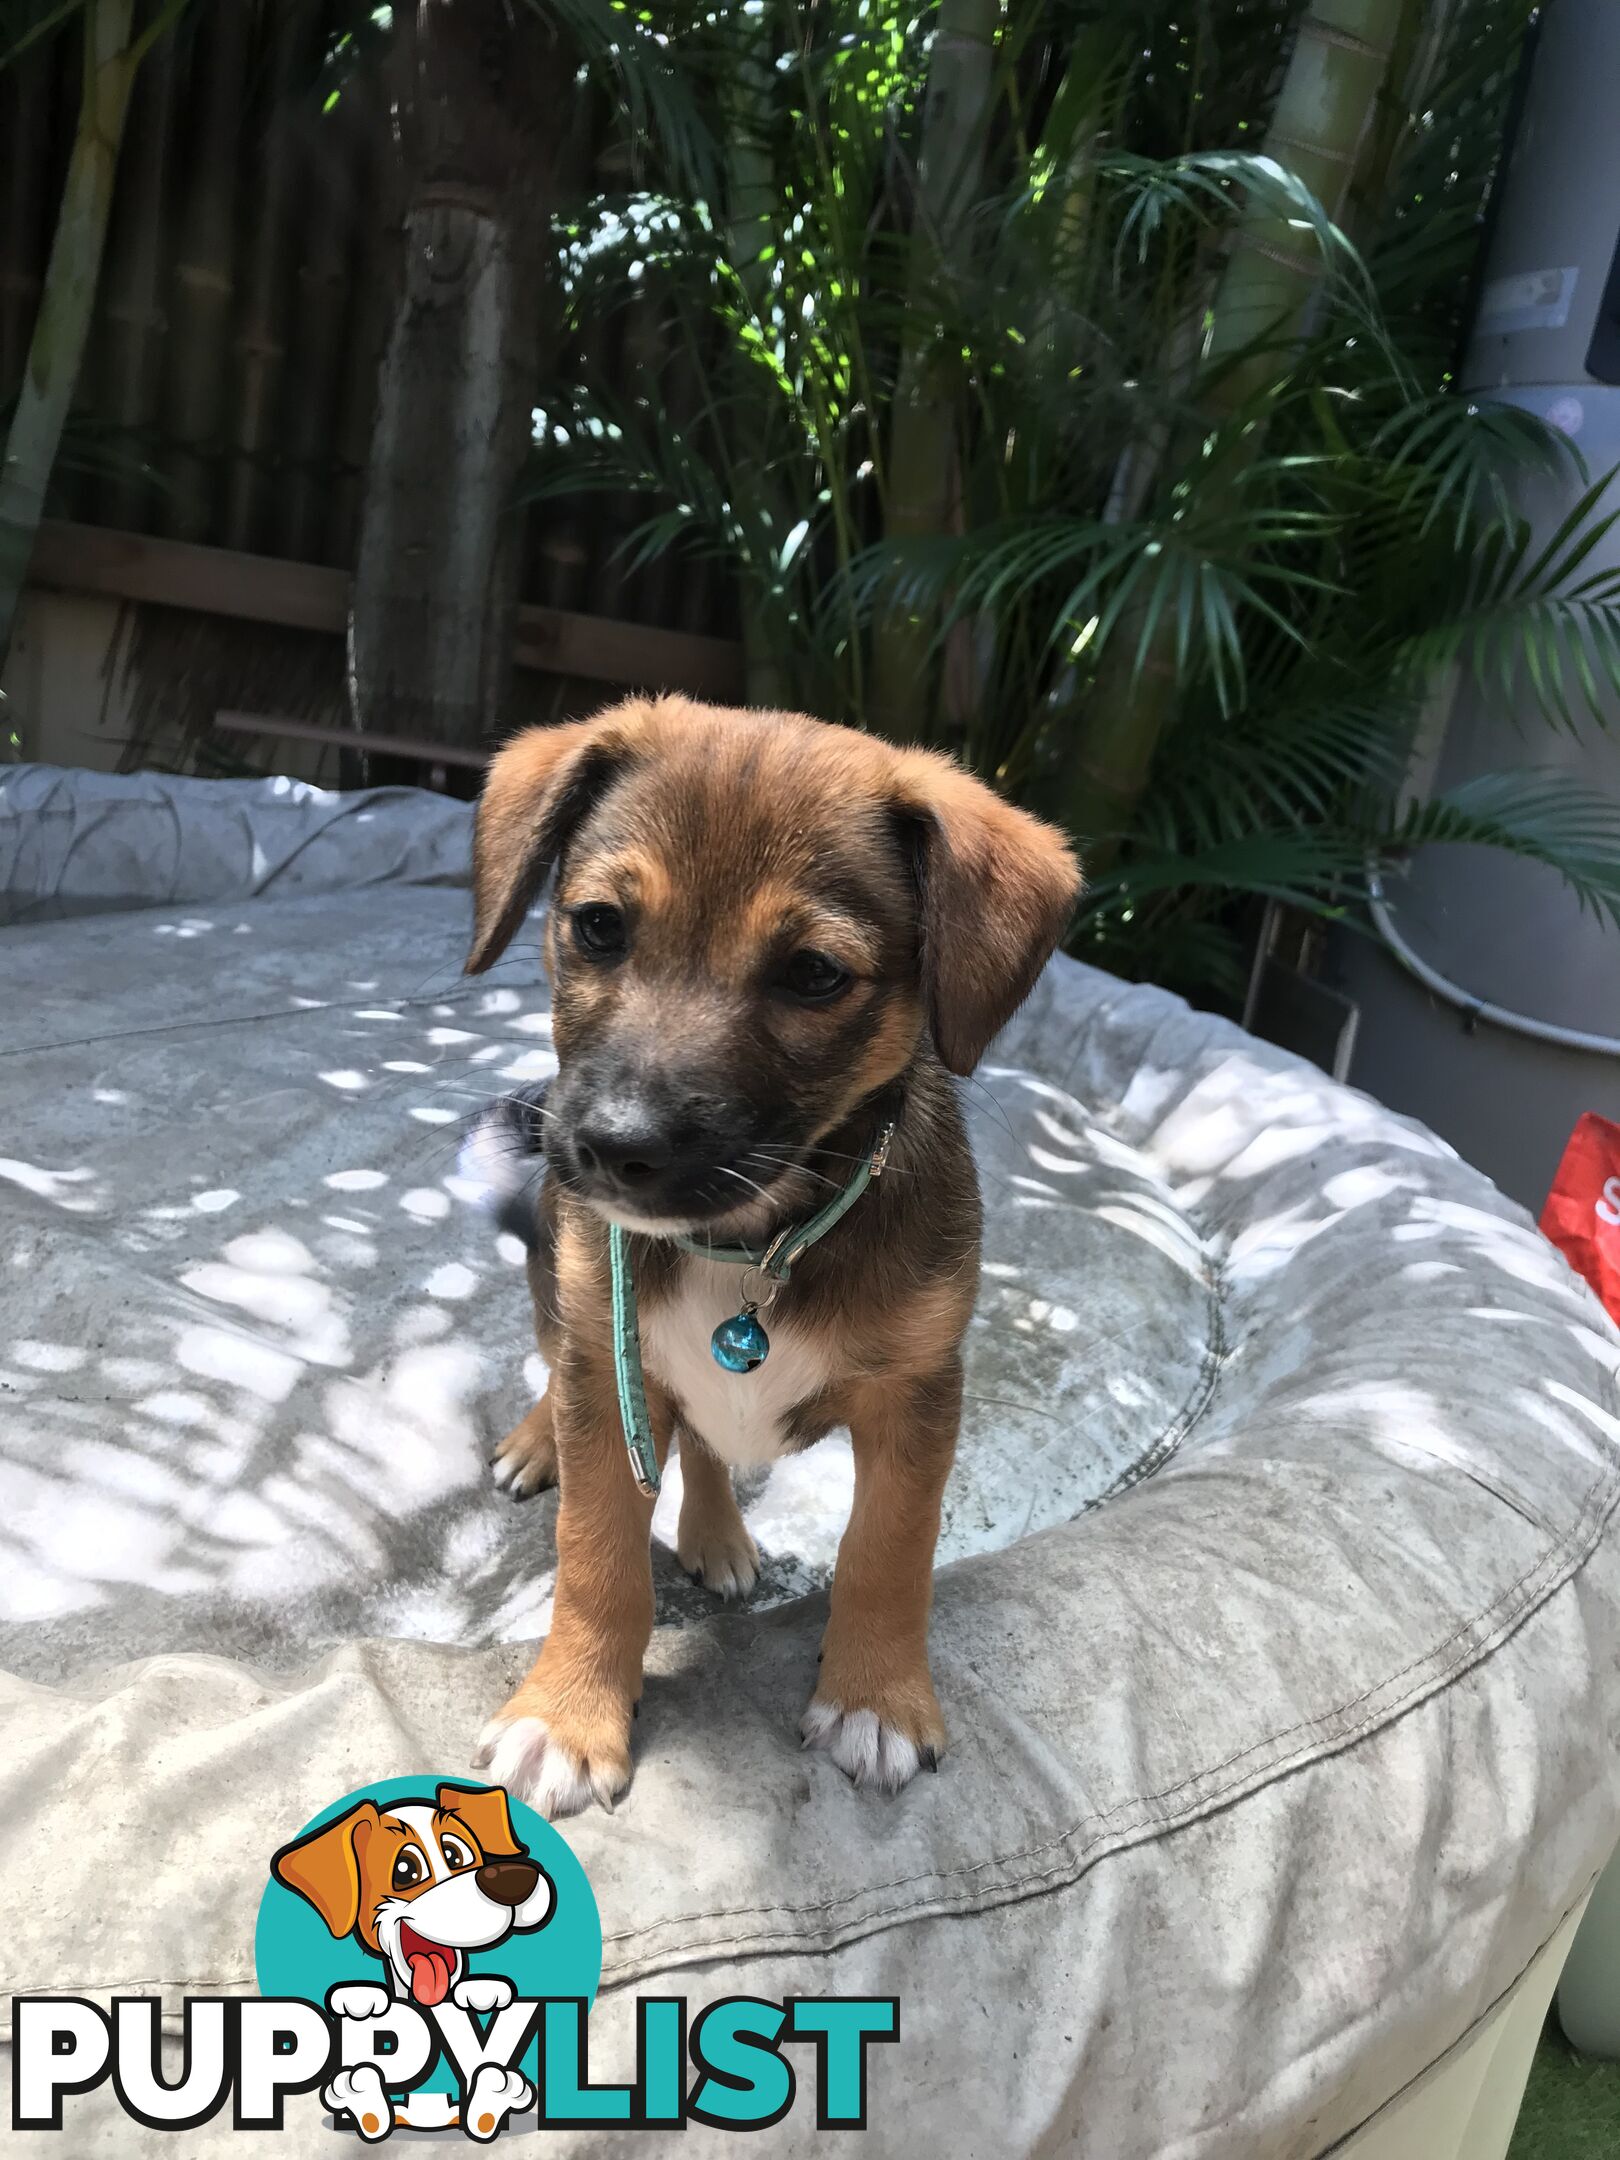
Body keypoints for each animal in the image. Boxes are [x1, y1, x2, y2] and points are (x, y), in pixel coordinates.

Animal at [462, 699, 1084, 1814]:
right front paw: (568, 1713)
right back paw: (541, 1444)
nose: (616, 1148)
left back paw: (717, 1534)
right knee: (563, 1365)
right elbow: (596, 1552)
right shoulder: (609, 1365)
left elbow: (890, 1548)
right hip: (558, 1281)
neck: (751, 1244)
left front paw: (877, 1698)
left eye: (814, 975)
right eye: (598, 925)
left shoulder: (920, 1393)